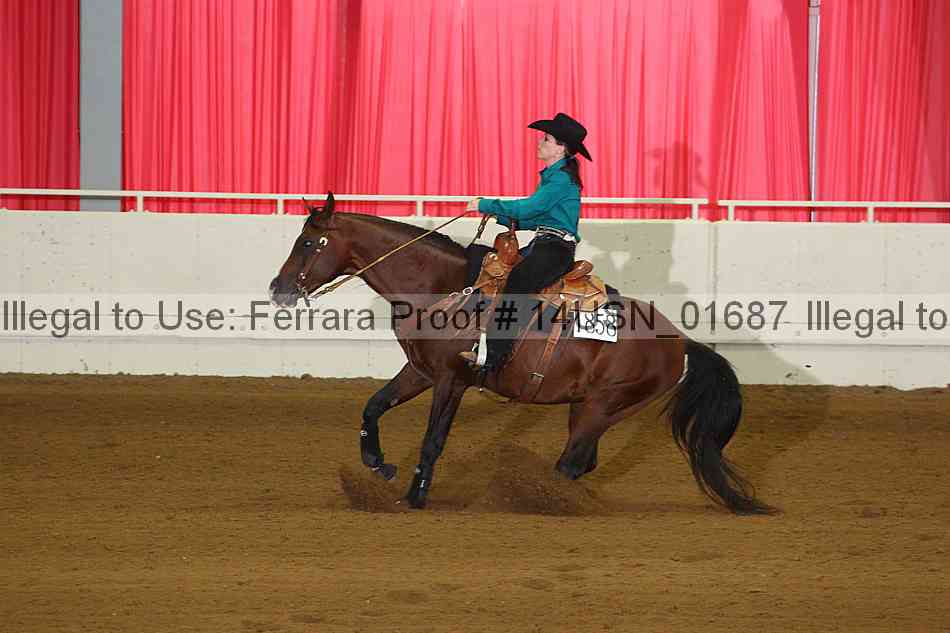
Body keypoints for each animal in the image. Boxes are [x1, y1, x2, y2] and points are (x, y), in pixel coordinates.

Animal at [269, 193, 773, 514]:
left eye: (308, 242)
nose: (278, 289)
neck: (443, 287)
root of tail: (680, 342)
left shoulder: (452, 379)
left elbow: (434, 440)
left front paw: (415, 497)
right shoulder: (421, 370)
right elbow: (373, 407)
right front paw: (379, 465)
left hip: (606, 403)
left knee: (572, 462)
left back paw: (541, 498)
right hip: (589, 407)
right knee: (580, 461)